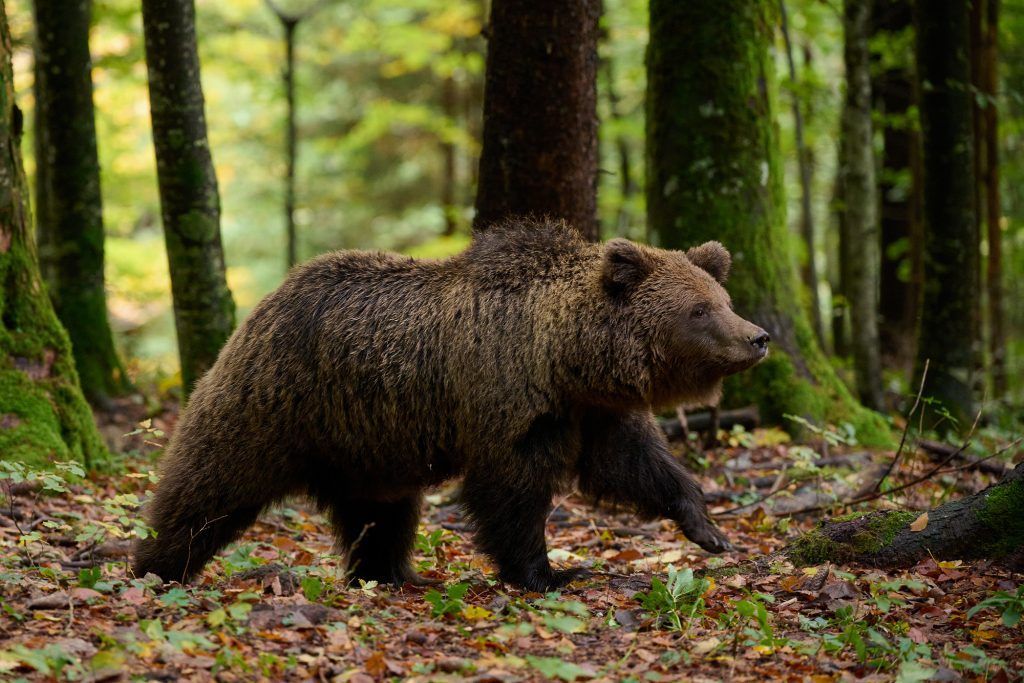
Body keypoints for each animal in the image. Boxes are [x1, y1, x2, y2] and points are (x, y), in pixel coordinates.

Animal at [132, 218, 769, 591]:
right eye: (698, 310)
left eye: (722, 298)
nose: (758, 336)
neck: (566, 358)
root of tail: (266, 302)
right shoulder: (507, 399)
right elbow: (509, 493)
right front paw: (548, 573)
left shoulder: (591, 412)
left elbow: (634, 464)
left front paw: (708, 528)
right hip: (275, 404)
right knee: (210, 485)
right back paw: (154, 564)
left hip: (368, 444)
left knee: (382, 515)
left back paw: (391, 574)